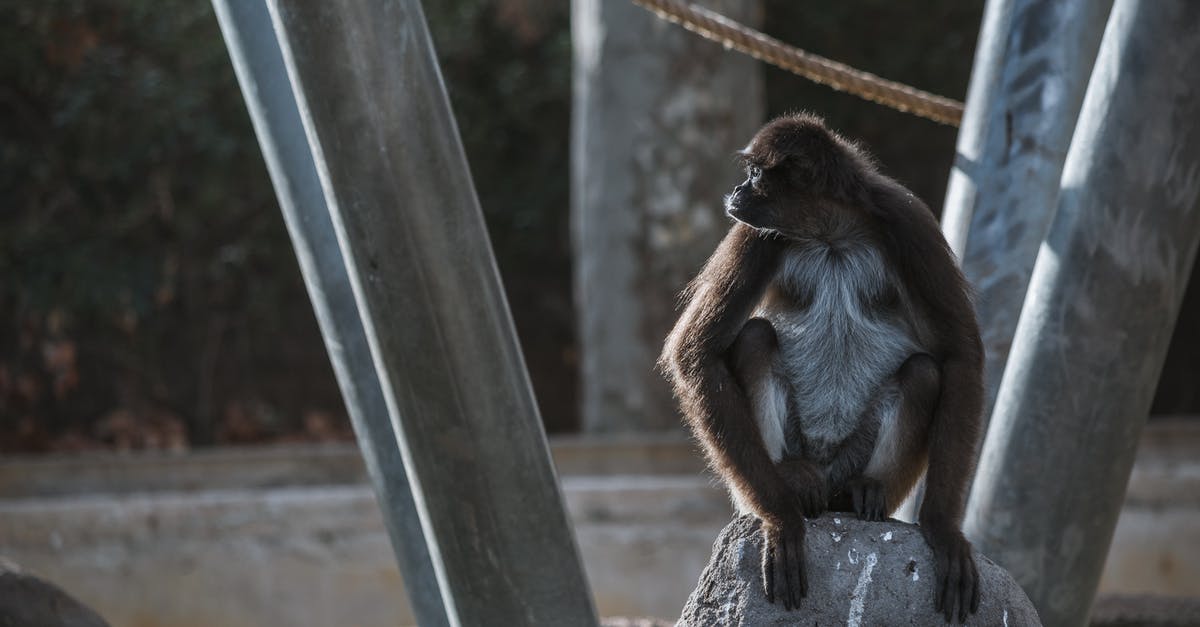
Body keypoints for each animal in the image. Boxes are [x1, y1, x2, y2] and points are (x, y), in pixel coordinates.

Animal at [657, 112, 984, 619]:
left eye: (755, 174)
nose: (736, 192)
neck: (829, 230)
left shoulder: (907, 220)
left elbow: (959, 355)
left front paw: (943, 528)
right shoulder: (756, 231)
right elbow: (695, 353)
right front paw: (781, 517)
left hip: (859, 458)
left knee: (924, 371)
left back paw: (863, 492)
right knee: (754, 337)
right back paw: (793, 485)